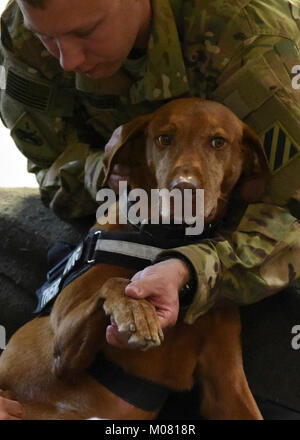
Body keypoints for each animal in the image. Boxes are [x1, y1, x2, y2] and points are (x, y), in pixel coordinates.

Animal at [0, 99, 270, 420]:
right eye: (164, 138)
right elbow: (116, 283)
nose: (184, 190)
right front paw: (135, 310)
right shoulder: (61, 352)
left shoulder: (226, 383)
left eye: (218, 142)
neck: (166, 240)